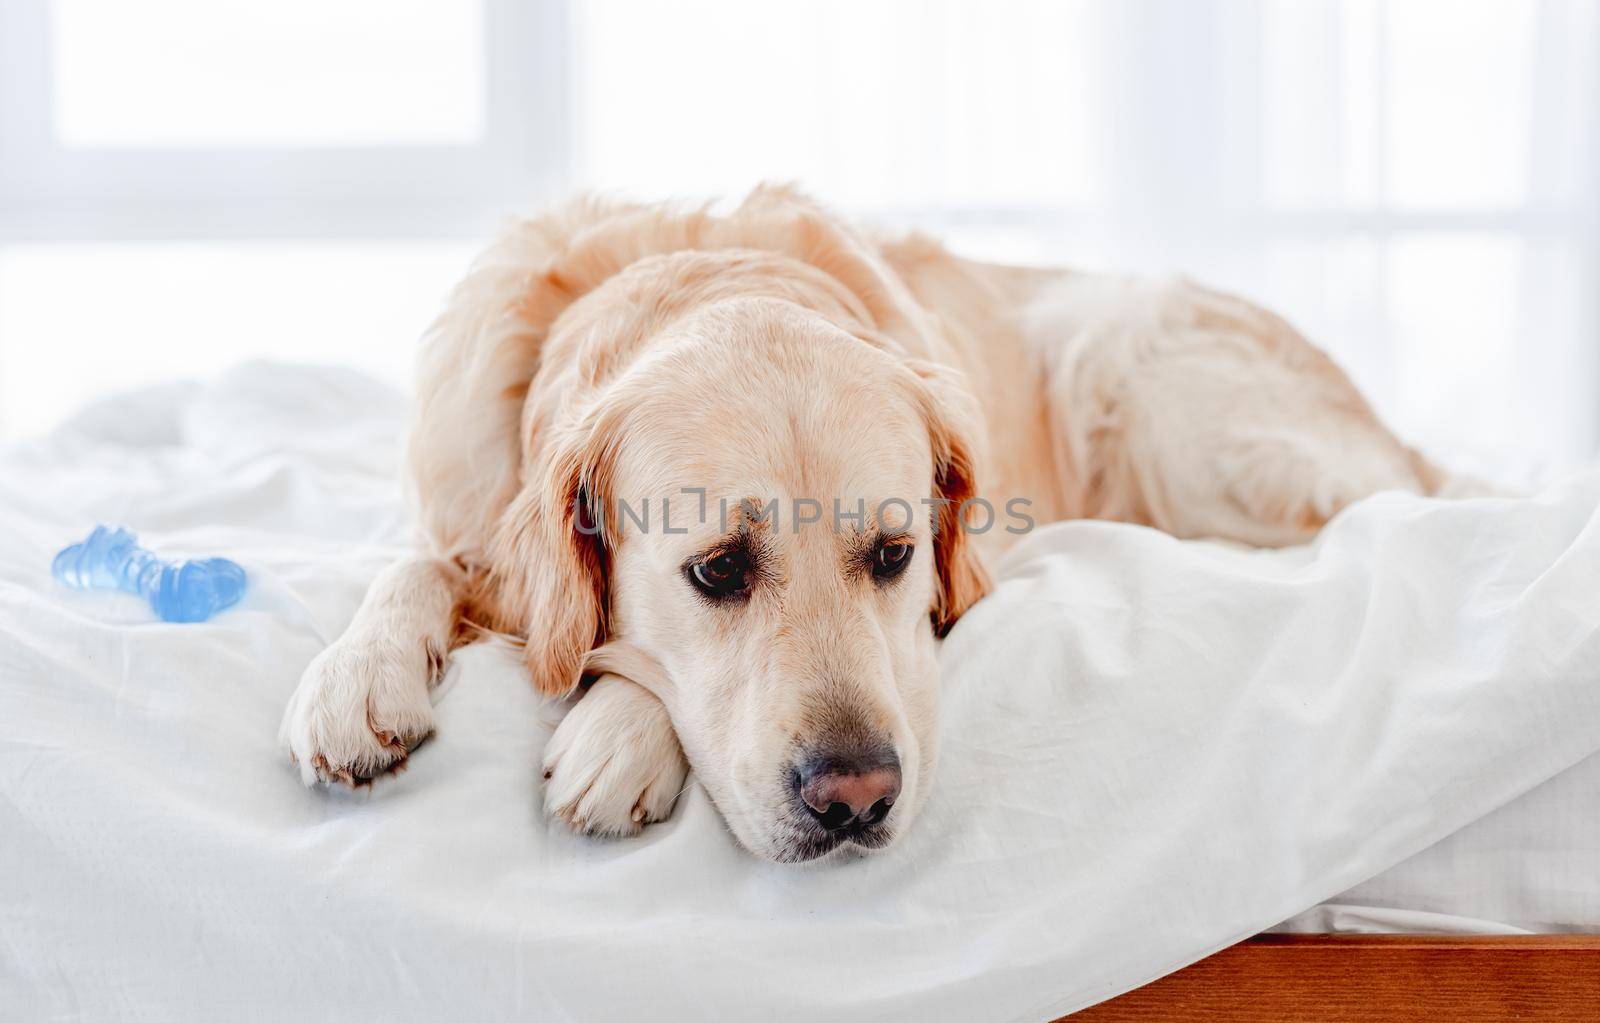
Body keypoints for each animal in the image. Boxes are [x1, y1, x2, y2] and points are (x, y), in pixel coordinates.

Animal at [278, 185, 1465, 864]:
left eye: (895, 555)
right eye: (717, 571)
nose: (855, 800)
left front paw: (618, 731)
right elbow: (418, 566)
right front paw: (356, 675)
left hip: (1133, 361)